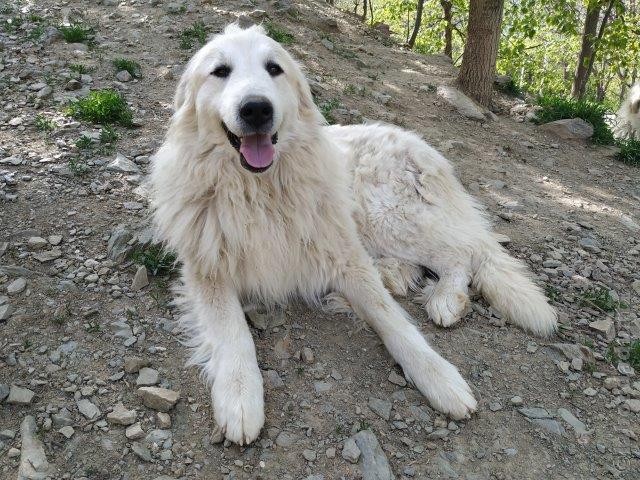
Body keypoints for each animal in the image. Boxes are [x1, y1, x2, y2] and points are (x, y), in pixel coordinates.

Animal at [149, 24, 556, 444]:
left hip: (386, 216)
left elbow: (393, 321)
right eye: (220, 71)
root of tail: (422, 148)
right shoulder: (208, 270)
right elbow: (233, 332)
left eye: (274, 68)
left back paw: (444, 299)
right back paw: (399, 275)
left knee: (462, 253)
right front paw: (240, 396)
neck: (257, 192)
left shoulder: (346, 258)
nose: (257, 109)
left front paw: (439, 377)